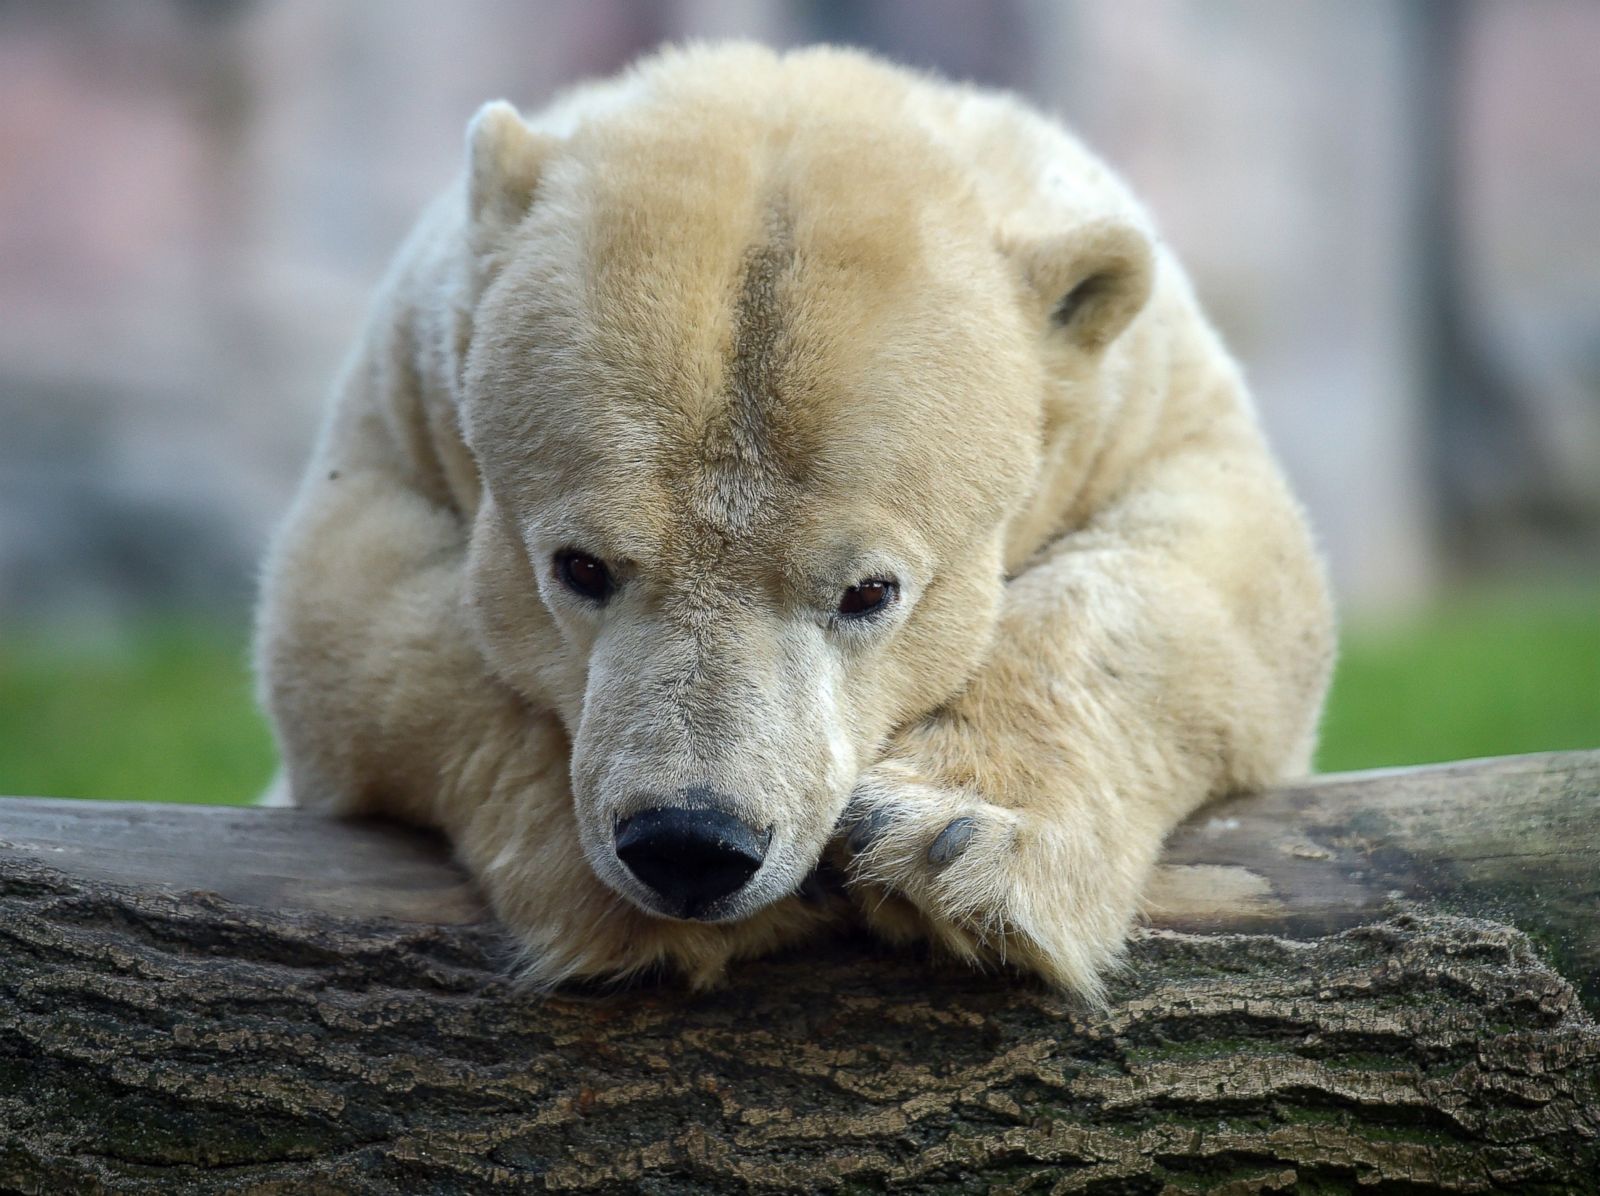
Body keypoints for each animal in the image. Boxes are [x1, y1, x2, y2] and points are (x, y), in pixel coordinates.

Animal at [256, 44, 1337, 997]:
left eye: (870, 591)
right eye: (579, 567)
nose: (691, 844)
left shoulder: (1150, 404)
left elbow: (1222, 577)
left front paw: (951, 840)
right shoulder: (396, 408)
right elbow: (349, 620)